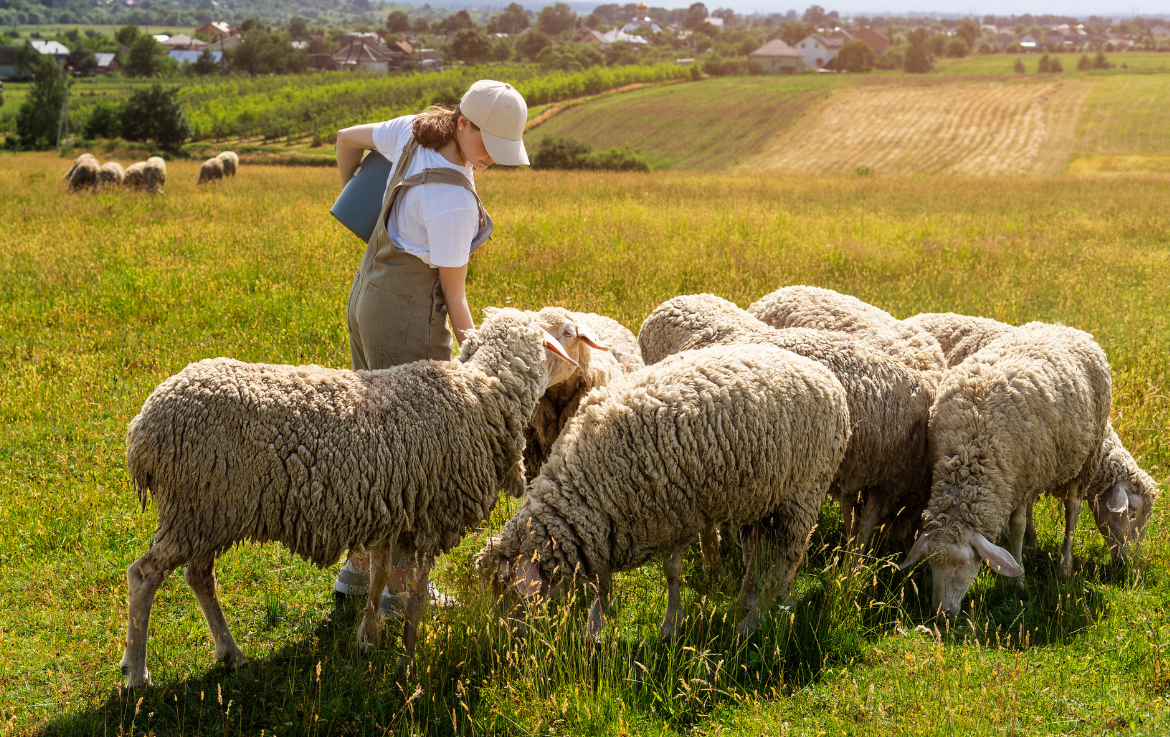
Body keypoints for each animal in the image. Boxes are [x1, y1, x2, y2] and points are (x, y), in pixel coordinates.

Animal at [118, 308, 578, 688]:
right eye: (564, 336)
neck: (482, 394)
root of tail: (142, 428)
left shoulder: (395, 508)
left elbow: (378, 577)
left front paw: (367, 640)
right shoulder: (431, 517)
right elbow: (414, 593)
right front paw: (408, 658)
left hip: (207, 510)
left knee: (198, 576)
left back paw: (231, 654)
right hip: (197, 507)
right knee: (145, 576)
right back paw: (137, 674)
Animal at [478, 342, 852, 639]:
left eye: (508, 591)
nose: (508, 638)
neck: (586, 484)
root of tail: (829, 378)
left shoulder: (673, 516)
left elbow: (672, 574)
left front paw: (670, 626)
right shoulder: (605, 526)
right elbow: (602, 580)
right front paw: (595, 628)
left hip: (805, 491)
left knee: (788, 556)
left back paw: (758, 617)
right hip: (762, 497)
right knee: (757, 555)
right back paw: (748, 601)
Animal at [899, 323, 1111, 616]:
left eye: (963, 564)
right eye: (931, 563)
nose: (943, 613)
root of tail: (1066, 327)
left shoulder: (1021, 476)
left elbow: (1017, 526)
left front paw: (1018, 578)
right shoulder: (1013, 479)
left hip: (1085, 457)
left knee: (1073, 508)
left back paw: (1064, 564)